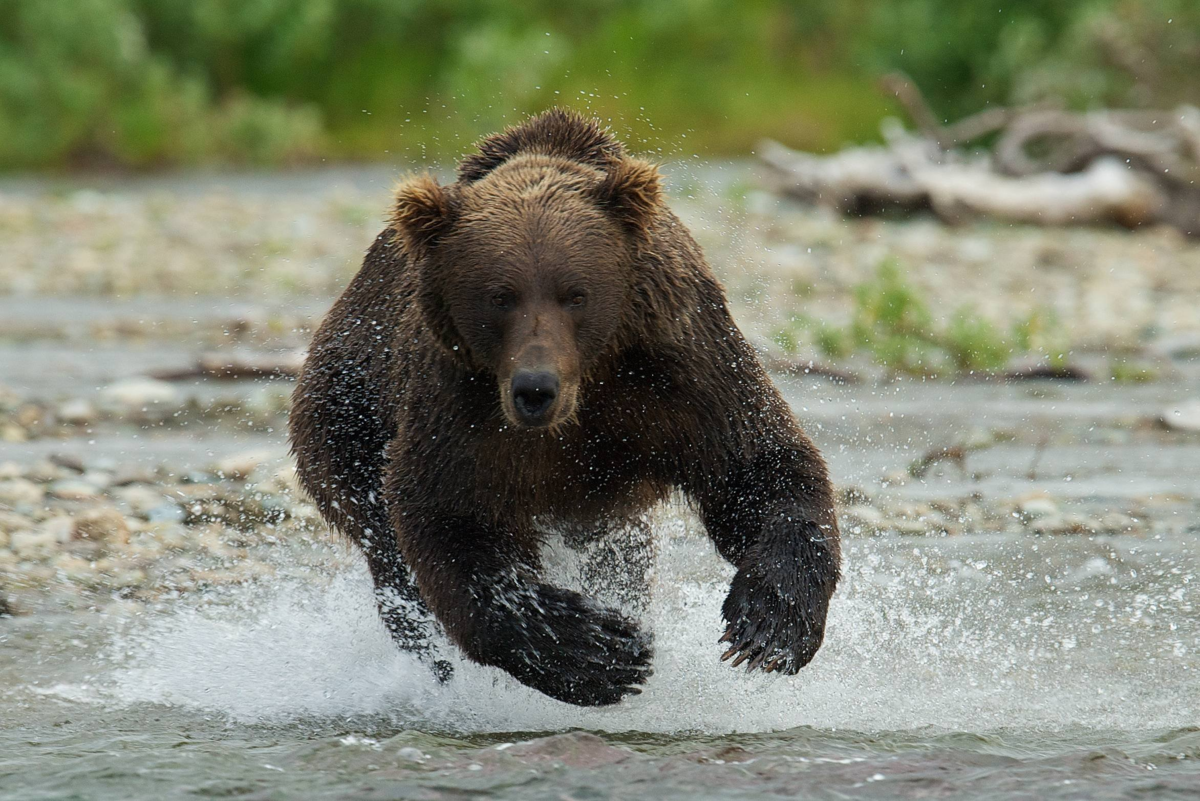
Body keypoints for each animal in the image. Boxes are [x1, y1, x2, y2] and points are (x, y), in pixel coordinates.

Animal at [290, 107, 840, 705]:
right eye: (499, 296)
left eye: (575, 293)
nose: (536, 388)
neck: (587, 387)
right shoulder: (459, 403)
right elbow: (450, 521)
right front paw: (600, 652)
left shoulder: (682, 369)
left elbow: (755, 466)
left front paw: (768, 625)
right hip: (346, 419)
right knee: (392, 560)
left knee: (619, 559)